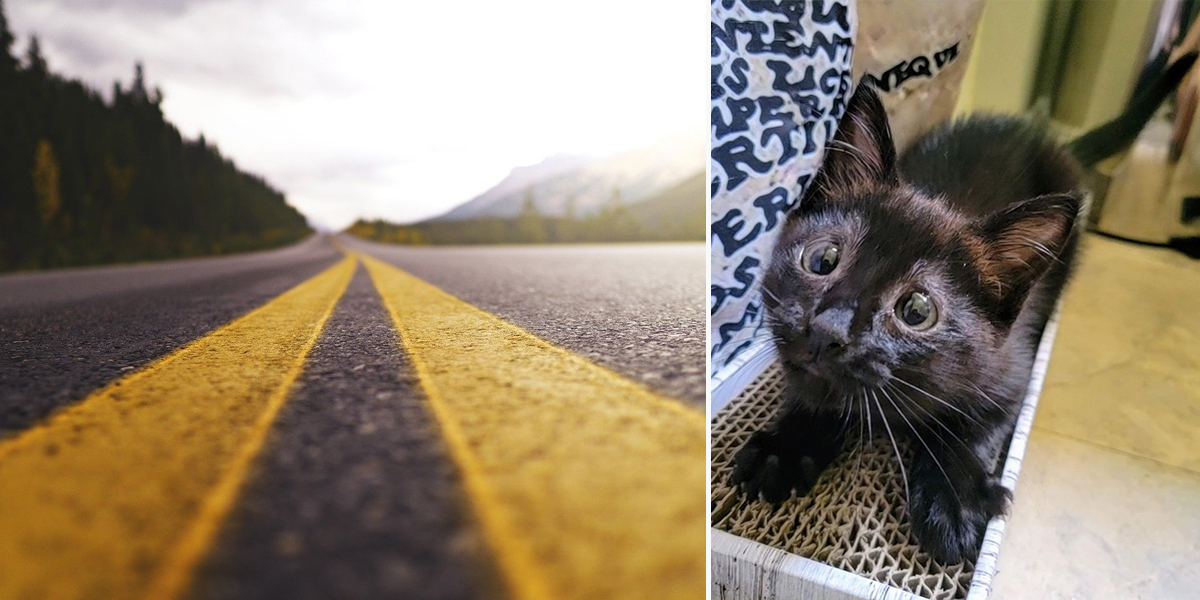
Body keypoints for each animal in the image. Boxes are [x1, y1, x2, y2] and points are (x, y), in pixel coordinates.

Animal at [729, 84, 1089, 561]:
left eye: (916, 311)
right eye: (822, 259)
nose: (828, 330)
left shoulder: (1013, 369)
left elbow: (970, 428)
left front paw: (955, 499)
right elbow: (812, 393)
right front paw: (785, 447)